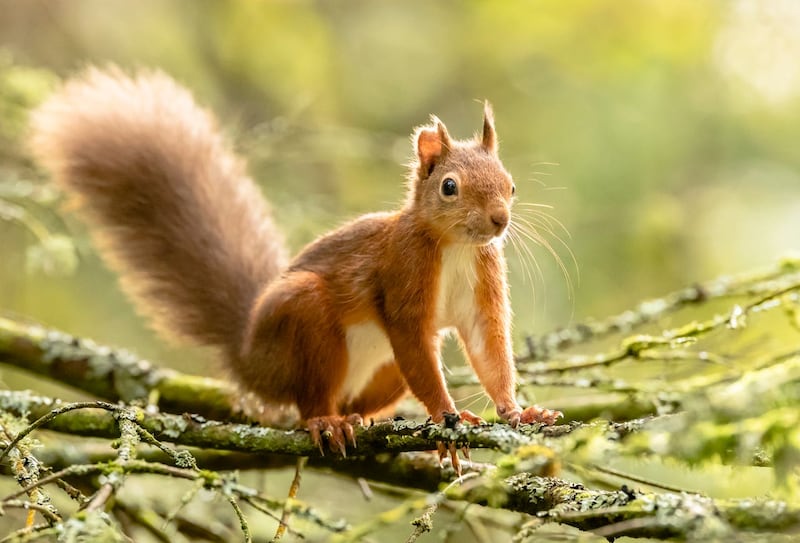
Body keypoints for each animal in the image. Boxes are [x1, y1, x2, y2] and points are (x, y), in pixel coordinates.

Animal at [28, 66, 560, 460]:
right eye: (450, 186)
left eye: (511, 184)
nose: (499, 219)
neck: (455, 247)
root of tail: (248, 357)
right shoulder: (403, 274)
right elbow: (415, 343)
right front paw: (447, 417)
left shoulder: (483, 281)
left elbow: (489, 348)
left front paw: (517, 412)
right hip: (302, 323)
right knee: (309, 398)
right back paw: (327, 420)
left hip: (382, 372)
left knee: (359, 396)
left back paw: (360, 417)